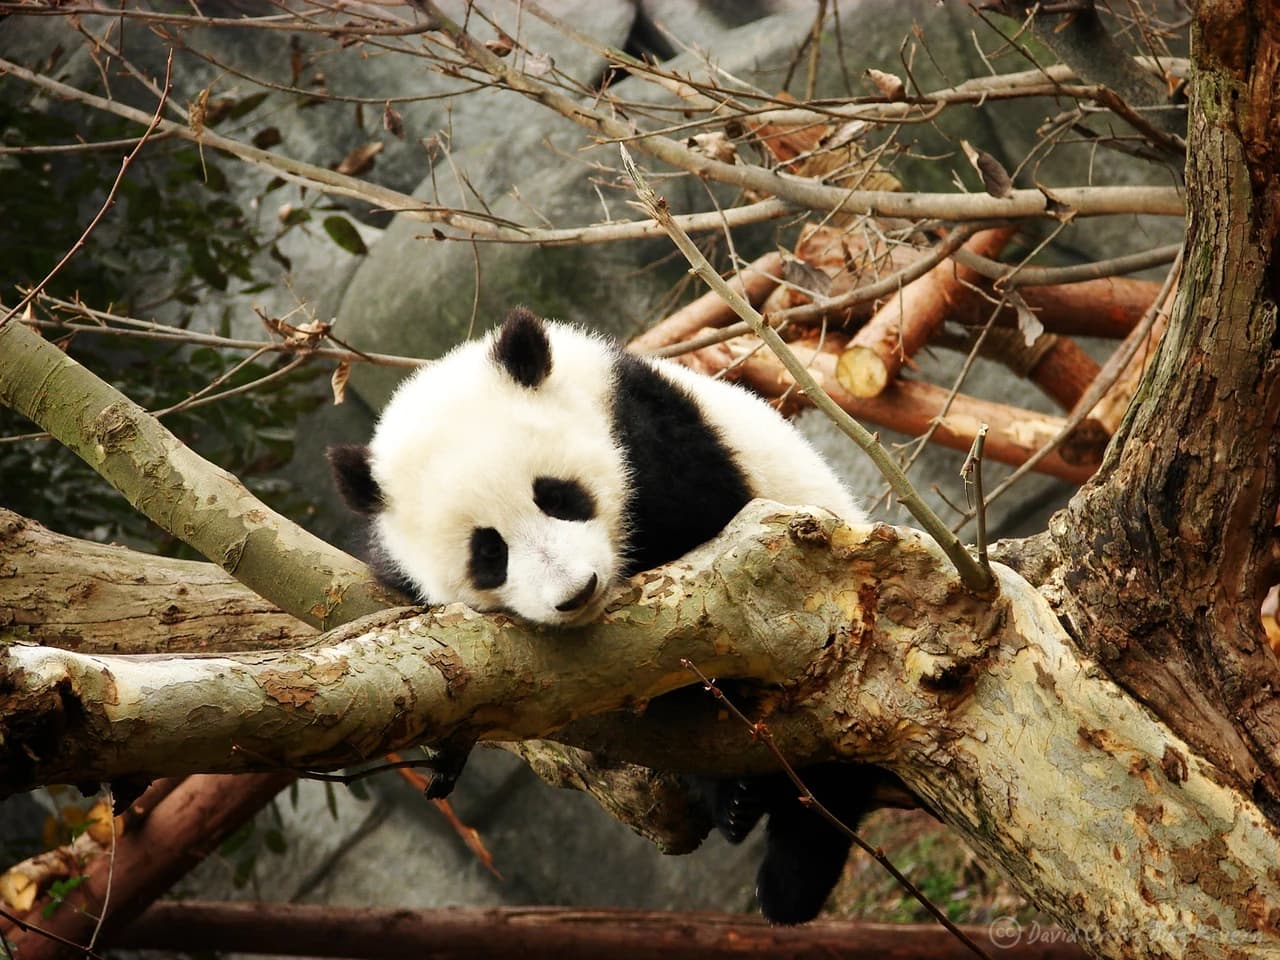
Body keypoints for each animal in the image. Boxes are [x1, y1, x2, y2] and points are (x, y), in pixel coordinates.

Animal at [329, 306, 886, 924]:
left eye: (557, 496)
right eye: (489, 553)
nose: (576, 592)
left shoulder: (654, 438)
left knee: (833, 770)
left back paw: (788, 880)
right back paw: (737, 804)